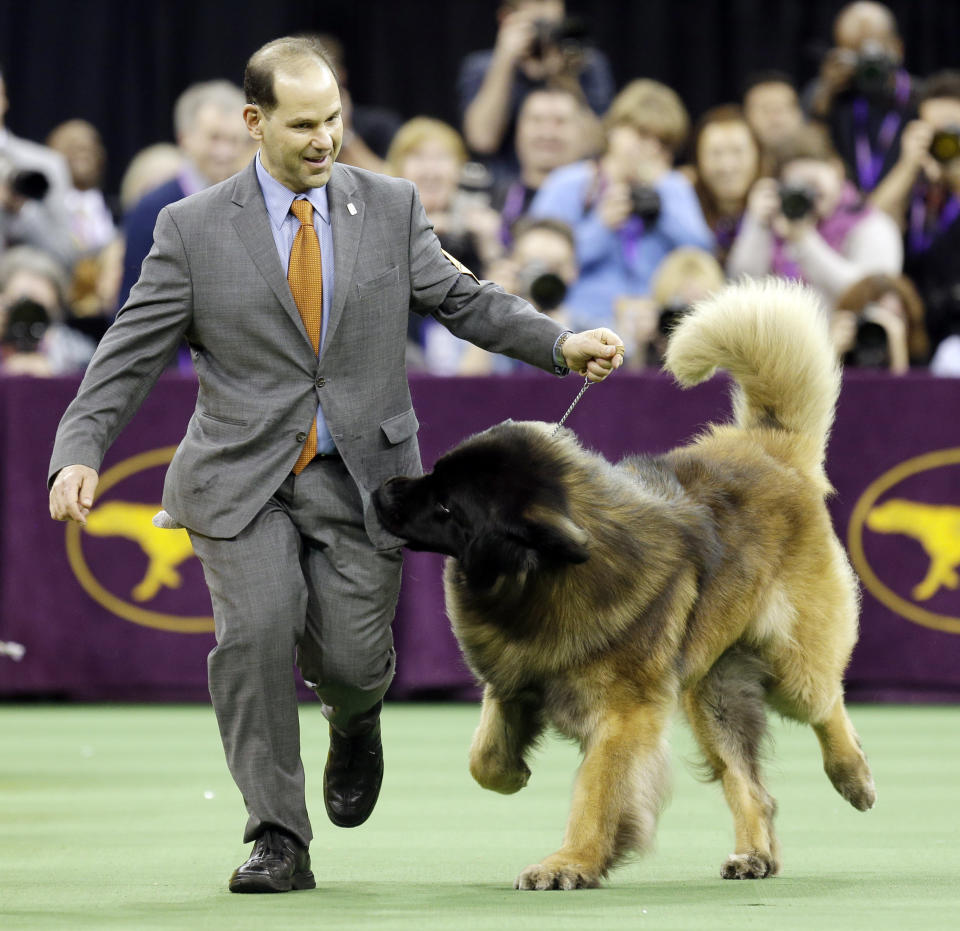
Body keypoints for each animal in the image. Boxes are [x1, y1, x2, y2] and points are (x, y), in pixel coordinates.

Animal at [376, 280, 876, 892]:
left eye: (448, 507)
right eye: (435, 474)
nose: (382, 491)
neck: (543, 575)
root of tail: (769, 447)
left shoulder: (624, 716)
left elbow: (599, 790)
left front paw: (570, 863)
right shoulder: (514, 675)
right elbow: (483, 759)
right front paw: (513, 773)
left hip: (789, 661)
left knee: (826, 702)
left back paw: (853, 778)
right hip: (711, 689)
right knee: (748, 781)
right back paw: (754, 853)